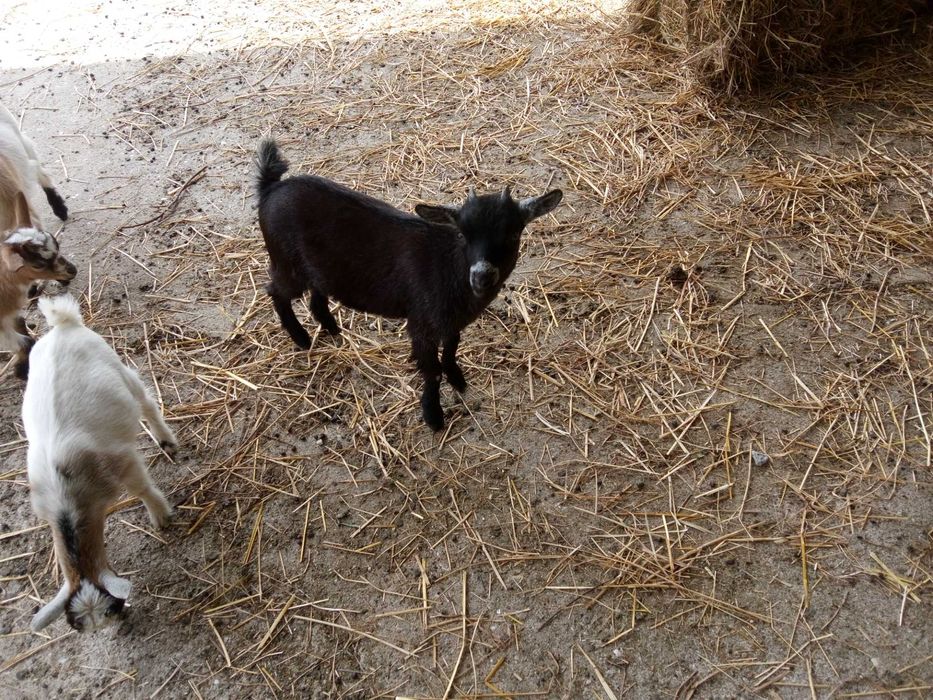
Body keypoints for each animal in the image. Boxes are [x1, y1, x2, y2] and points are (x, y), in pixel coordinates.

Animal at [1, 192, 76, 379]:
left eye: (57, 244)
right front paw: (22, 370)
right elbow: (25, 341)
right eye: (37, 265)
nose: (72, 270)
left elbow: (21, 324)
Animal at [23, 294, 177, 633]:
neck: (67, 500)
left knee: (145, 401)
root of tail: (62, 324)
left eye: (112, 605)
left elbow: (142, 488)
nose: (125, 620)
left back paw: (166, 438)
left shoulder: (123, 462)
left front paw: (161, 516)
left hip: (114, 365)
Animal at [255, 139, 562, 430]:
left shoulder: (450, 321)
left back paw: (332, 330)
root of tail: (271, 188)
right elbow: (432, 370)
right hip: (286, 263)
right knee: (276, 291)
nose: (481, 277)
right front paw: (433, 416)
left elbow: (451, 349)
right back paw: (301, 338)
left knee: (316, 295)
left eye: (513, 234)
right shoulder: (422, 322)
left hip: (316, 268)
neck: (448, 266)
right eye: (462, 235)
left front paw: (458, 380)